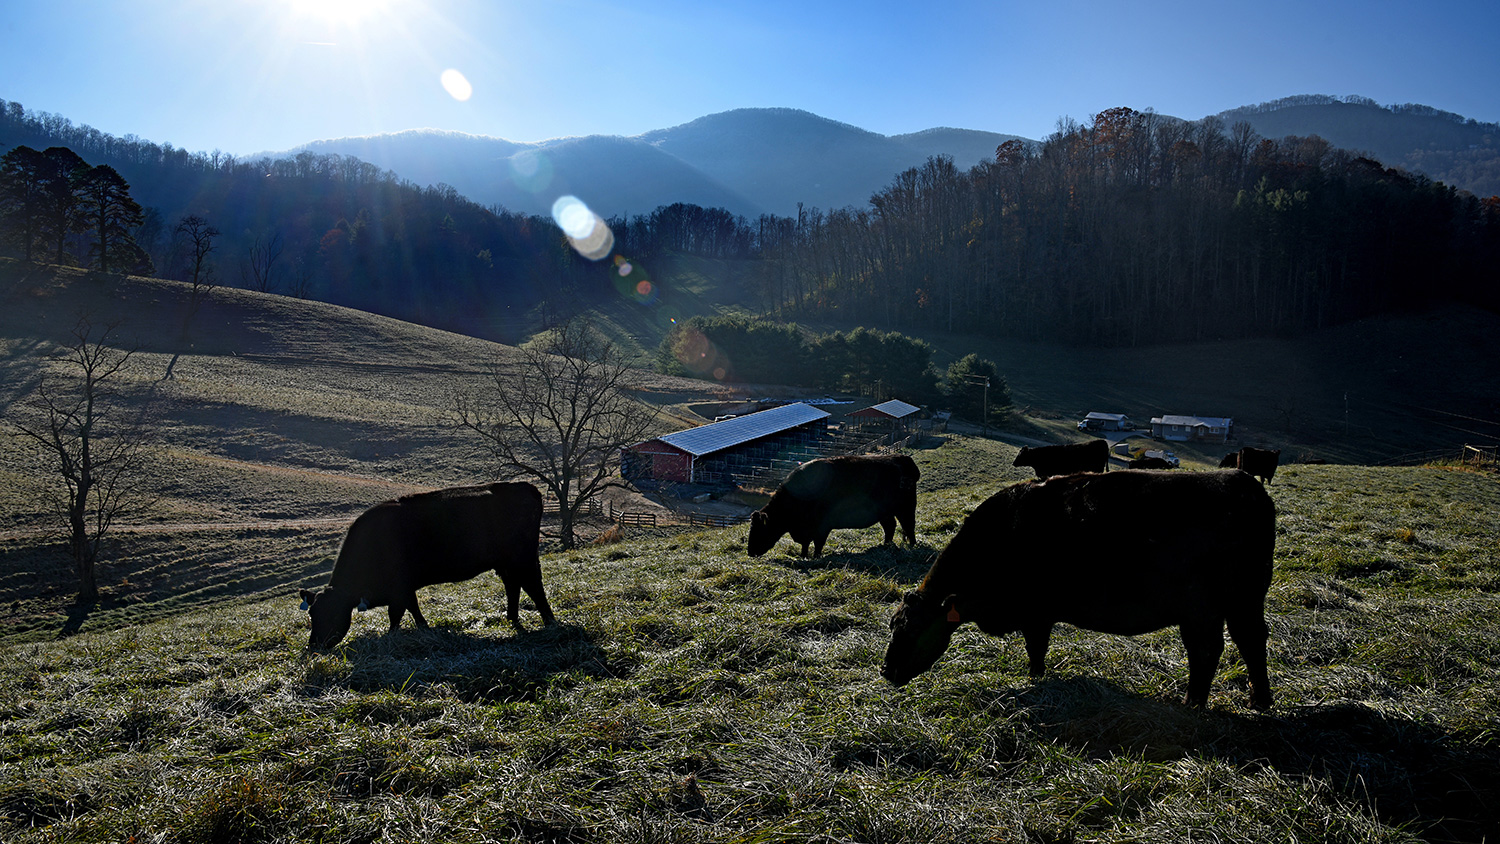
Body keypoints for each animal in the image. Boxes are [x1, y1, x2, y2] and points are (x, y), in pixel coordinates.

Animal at [295, 482, 555, 647]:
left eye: (332, 613)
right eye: (313, 614)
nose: (313, 646)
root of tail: (525, 486)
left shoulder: (399, 588)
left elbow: (396, 614)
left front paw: (391, 636)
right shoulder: (405, 588)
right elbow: (413, 608)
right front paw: (424, 628)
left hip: (523, 558)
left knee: (533, 585)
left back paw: (549, 621)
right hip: (506, 563)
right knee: (513, 586)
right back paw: (511, 618)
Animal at [747, 452, 918, 557]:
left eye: (759, 529)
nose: (750, 552)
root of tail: (902, 458)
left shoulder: (822, 527)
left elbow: (818, 544)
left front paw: (815, 557)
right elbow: (805, 544)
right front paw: (803, 556)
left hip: (906, 509)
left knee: (909, 526)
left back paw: (912, 545)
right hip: (885, 513)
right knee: (890, 526)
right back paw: (885, 545)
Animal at [876, 473, 1278, 710]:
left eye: (911, 628)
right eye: (893, 626)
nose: (886, 669)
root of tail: (1243, 481)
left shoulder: (1035, 613)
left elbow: (1036, 650)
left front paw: (1035, 679)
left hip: (1206, 608)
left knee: (1209, 650)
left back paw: (1193, 702)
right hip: (1240, 603)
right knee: (1249, 640)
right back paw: (1259, 700)